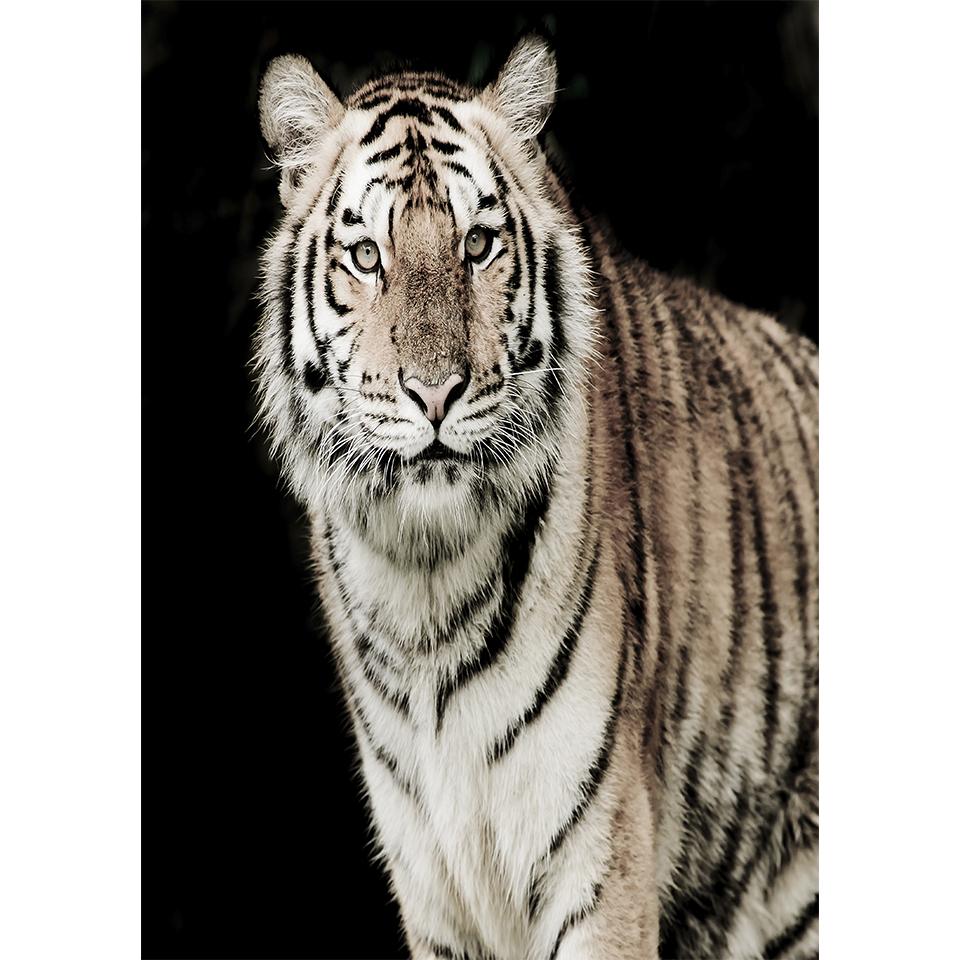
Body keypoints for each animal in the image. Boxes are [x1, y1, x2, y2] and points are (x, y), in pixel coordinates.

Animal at [253, 35, 818, 960]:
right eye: (367, 256)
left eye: (479, 244)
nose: (434, 392)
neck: (423, 586)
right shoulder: (433, 888)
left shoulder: (599, 859)